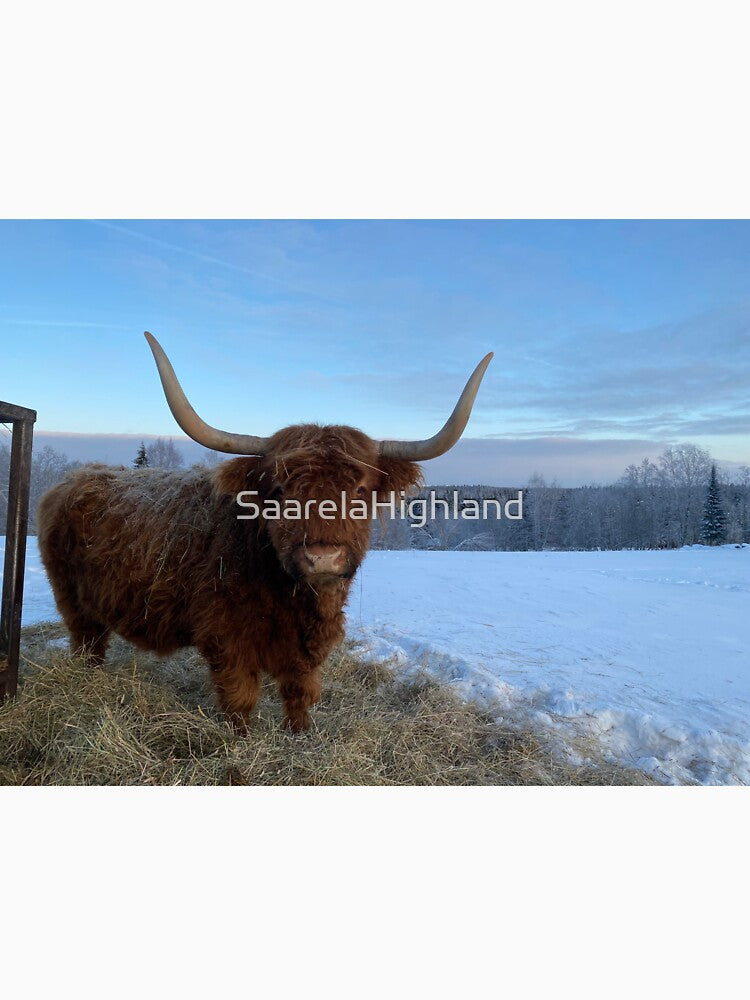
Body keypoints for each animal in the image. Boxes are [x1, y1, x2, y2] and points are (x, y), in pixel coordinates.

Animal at [37, 333, 493, 732]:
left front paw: (299, 736)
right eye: (279, 490)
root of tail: (75, 478)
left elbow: (299, 694)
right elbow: (240, 701)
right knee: (87, 643)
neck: (297, 601)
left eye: (361, 489)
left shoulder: (307, 648)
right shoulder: (226, 640)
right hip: (72, 599)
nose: (322, 557)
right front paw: (240, 742)